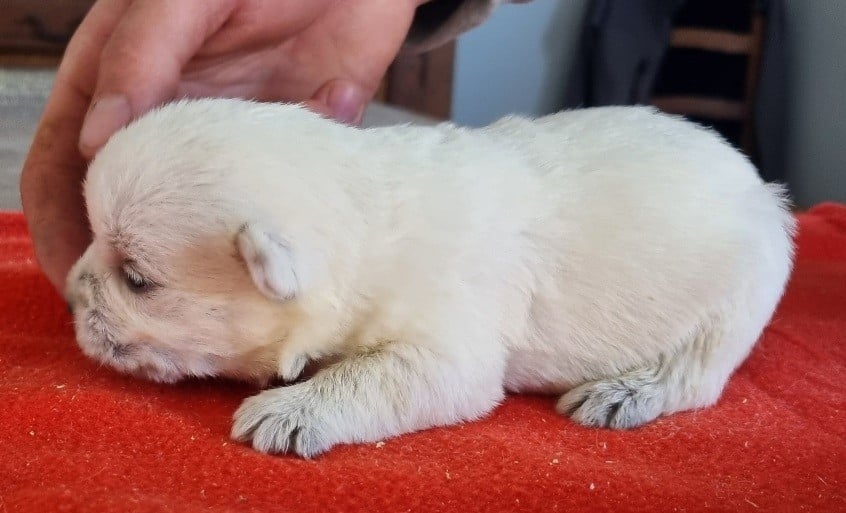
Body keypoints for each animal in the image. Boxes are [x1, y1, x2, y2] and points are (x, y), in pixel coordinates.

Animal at [65, 98, 795, 457]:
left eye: (137, 280)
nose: (71, 293)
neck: (362, 209)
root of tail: (761, 186)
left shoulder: (449, 350)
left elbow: (373, 376)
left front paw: (290, 411)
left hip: (740, 293)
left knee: (696, 373)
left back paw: (625, 392)